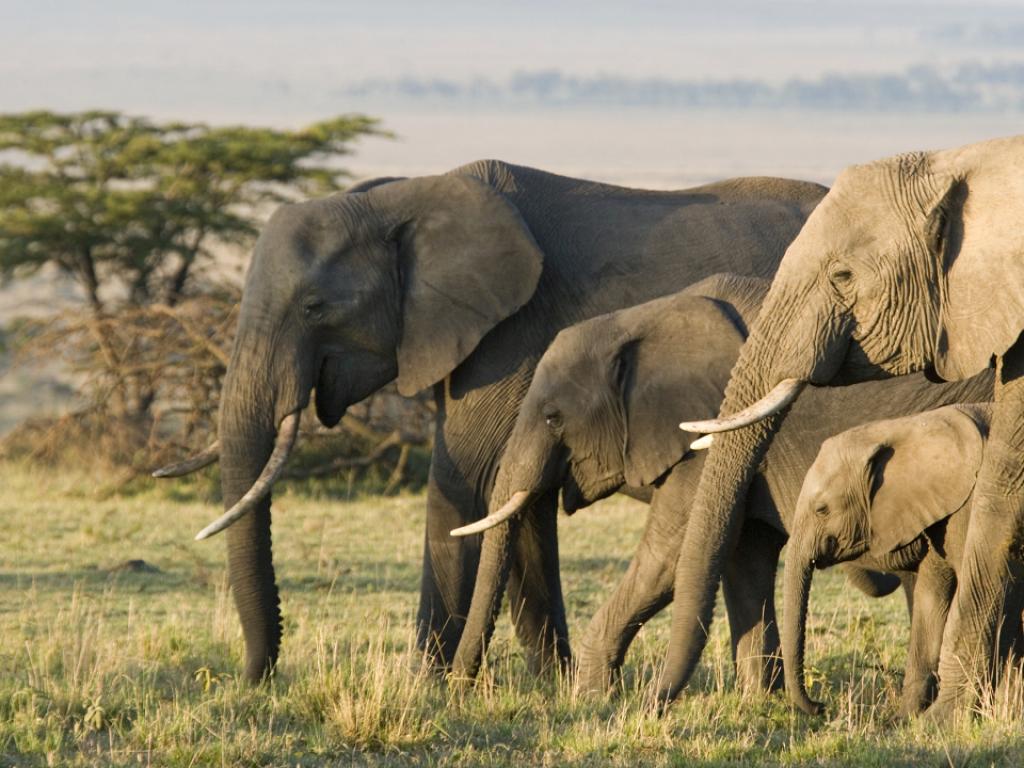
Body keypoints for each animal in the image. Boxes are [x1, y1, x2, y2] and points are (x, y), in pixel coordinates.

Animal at [155, 159, 823, 684]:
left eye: (315, 307)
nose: (255, 678)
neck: (402, 198)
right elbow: (517, 502)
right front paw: (551, 685)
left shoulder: (509, 336)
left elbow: (468, 482)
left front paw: (425, 687)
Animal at [448, 274, 991, 696]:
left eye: (553, 417)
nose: (461, 687)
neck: (644, 317)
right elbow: (744, 556)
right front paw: (760, 702)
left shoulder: (705, 438)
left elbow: (670, 556)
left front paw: (593, 700)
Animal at [782, 405, 1024, 720]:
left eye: (822, 510)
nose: (820, 706)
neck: (904, 428)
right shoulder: (934, 510)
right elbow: (931, 596)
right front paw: (904, 719)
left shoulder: (970, 503)